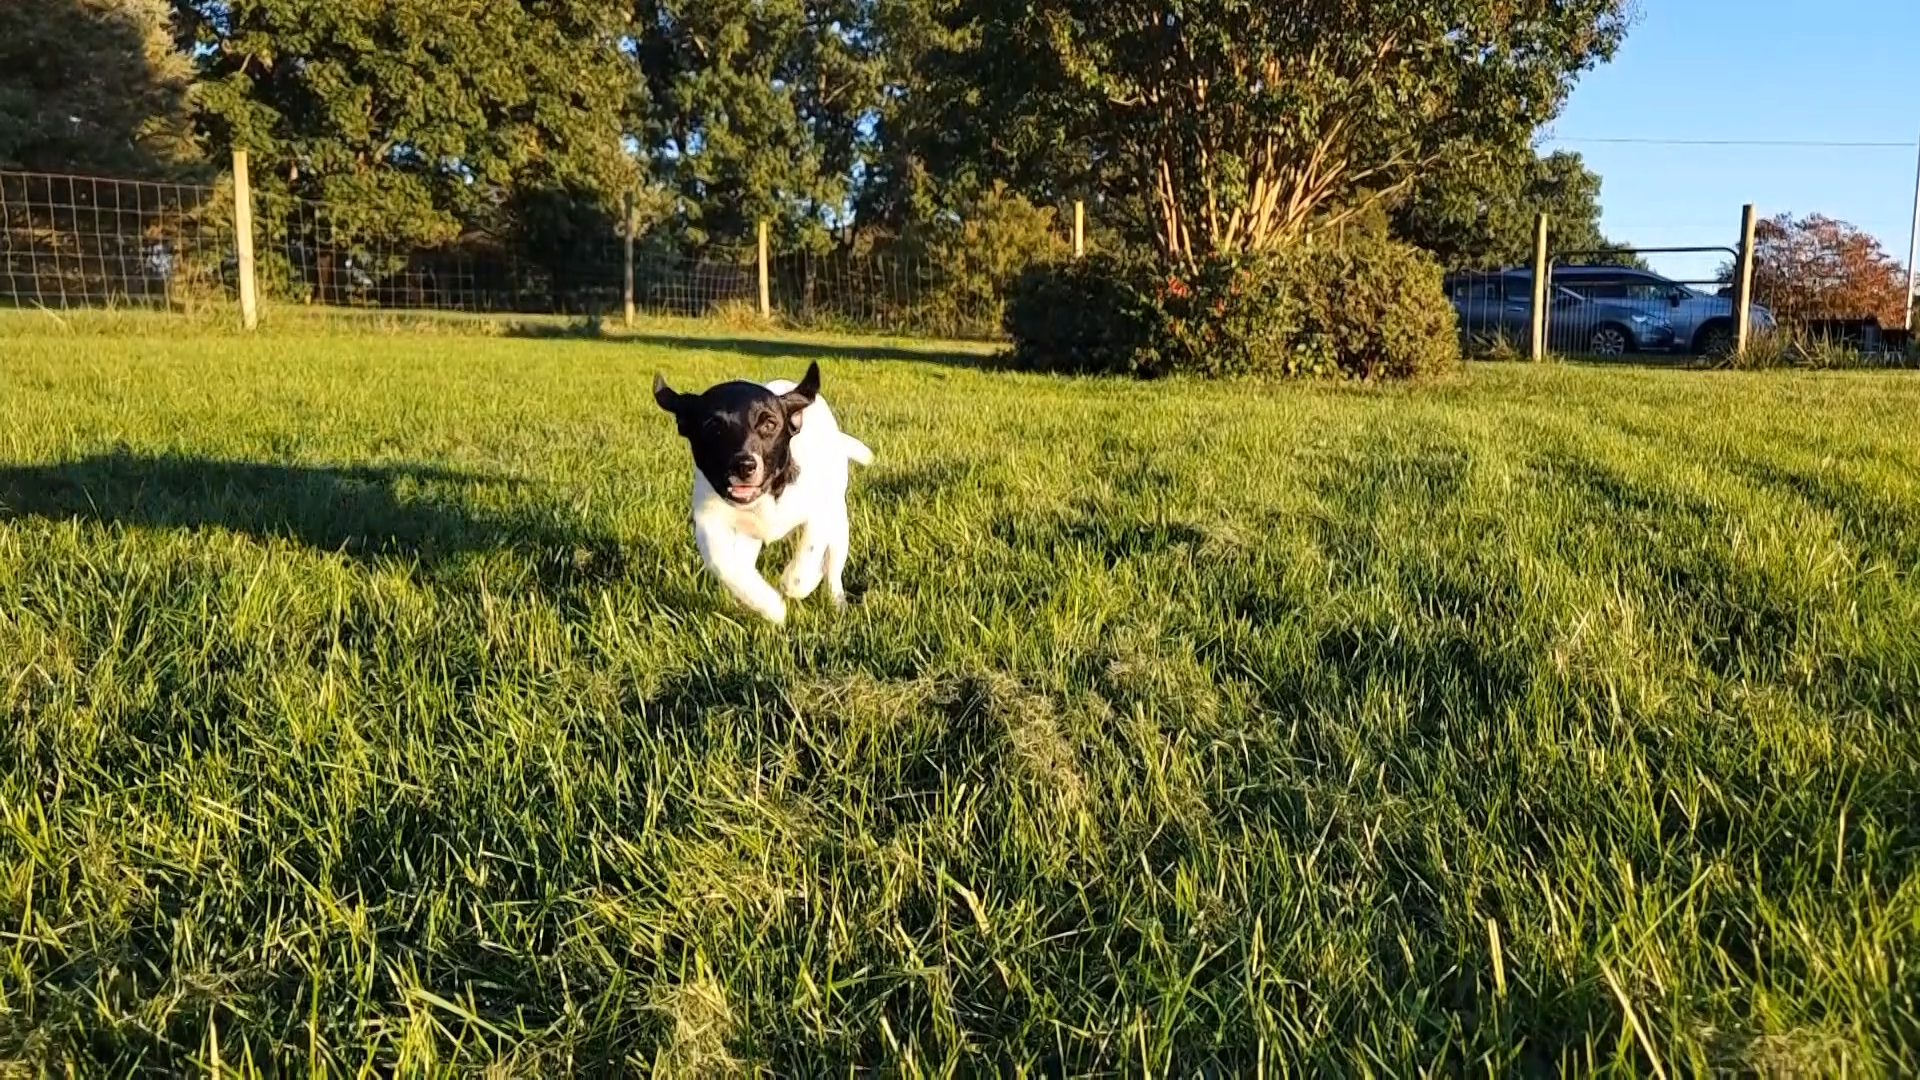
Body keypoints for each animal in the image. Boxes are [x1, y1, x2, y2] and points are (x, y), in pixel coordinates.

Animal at [656, 359, 875, 622]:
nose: (745, 466)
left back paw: (836, 601)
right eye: (713, 427)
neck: (765, 498)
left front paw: (799, 583)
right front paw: (773, 608)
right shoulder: (709, 520)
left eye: (770, 424)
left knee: (833, 568)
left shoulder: (819, 513)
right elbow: (727, 567)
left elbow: (810, 551)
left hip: (838, 522)